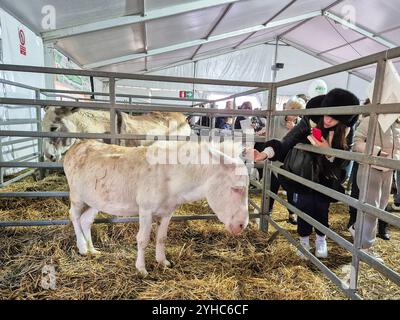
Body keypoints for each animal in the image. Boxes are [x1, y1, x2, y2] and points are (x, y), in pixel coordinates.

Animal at [63, 139, 248, 276]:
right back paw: (82, 248)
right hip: (77, 196)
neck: (173, 177)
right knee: (74, 216)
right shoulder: (146, 210)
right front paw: (141, 269)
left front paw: (163, 261)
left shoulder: (167, 212)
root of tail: (76, 146)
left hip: (94, 200)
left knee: (86, 220)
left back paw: (92, 249)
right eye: (237, 188)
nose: (242, 225)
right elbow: (143, 239)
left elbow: (161, 238)